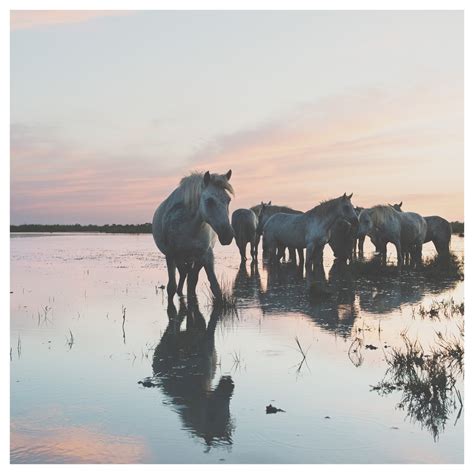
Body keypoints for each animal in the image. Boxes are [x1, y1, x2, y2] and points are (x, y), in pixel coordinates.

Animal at [152, 170, 233, 298]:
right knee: (184, 274)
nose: (228, 235)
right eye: (210, 201)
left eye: (228, 200)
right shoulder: (171, 255)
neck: (189, 227)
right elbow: (171, 288)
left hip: (194, 259)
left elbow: (214, 287)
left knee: (190, 277)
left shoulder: (206, 255)